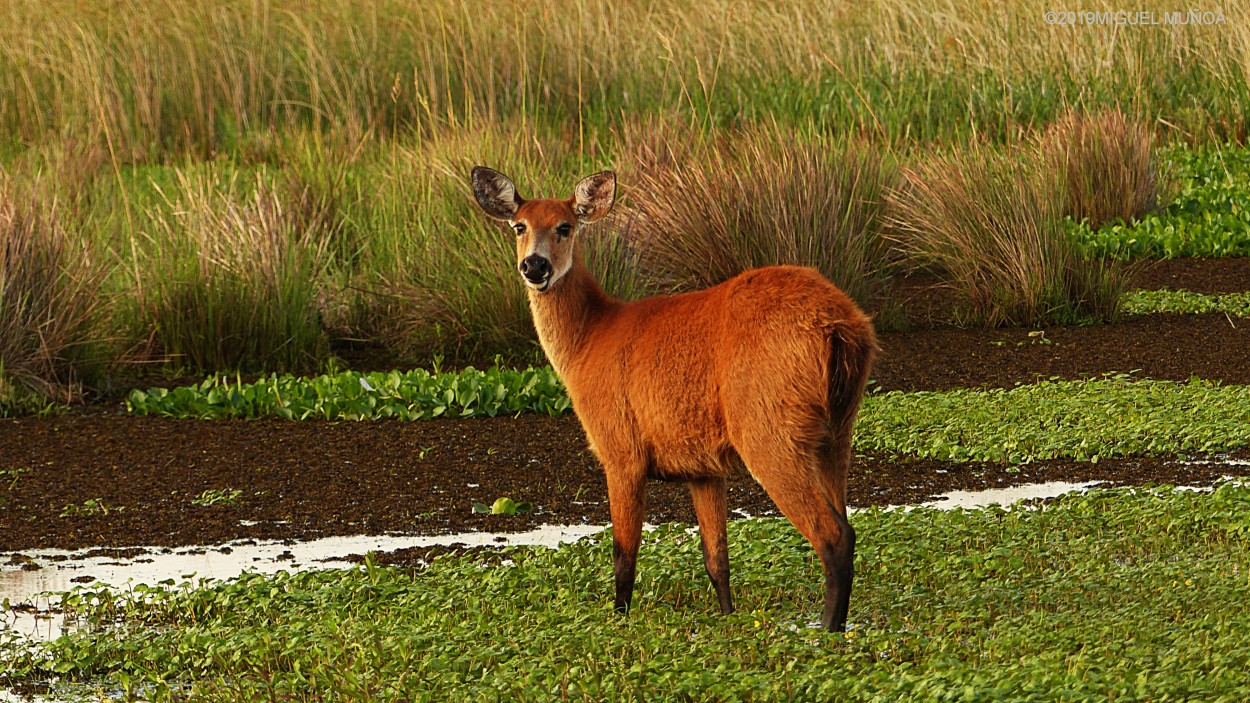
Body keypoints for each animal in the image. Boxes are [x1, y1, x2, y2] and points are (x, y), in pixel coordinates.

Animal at [472, 165, 875, 630]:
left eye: (565, 226)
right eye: (519, 226)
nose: (534, 266)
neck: (588, 342)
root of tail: (841, 326)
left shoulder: (620, 451)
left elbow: (623, 557)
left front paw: (620, 619)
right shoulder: (703, 467)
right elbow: (717, 560)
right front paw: (726, 619)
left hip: (769, 429)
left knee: (834, 535)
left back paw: (826, 631)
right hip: (838, 430)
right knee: (845, 523)